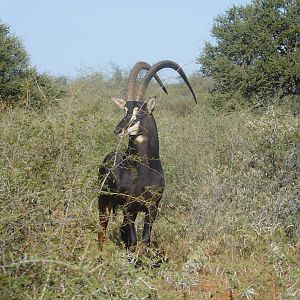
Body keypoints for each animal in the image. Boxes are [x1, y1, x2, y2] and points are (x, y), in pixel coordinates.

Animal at [98, 59, 197, 248]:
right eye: (125, 110)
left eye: (140, 111)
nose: (118, 130)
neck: (144, 171)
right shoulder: (128, 207)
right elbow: (133, 241)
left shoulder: (152, 207)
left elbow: (144, 240)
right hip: (104, 202)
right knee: (102, 232)